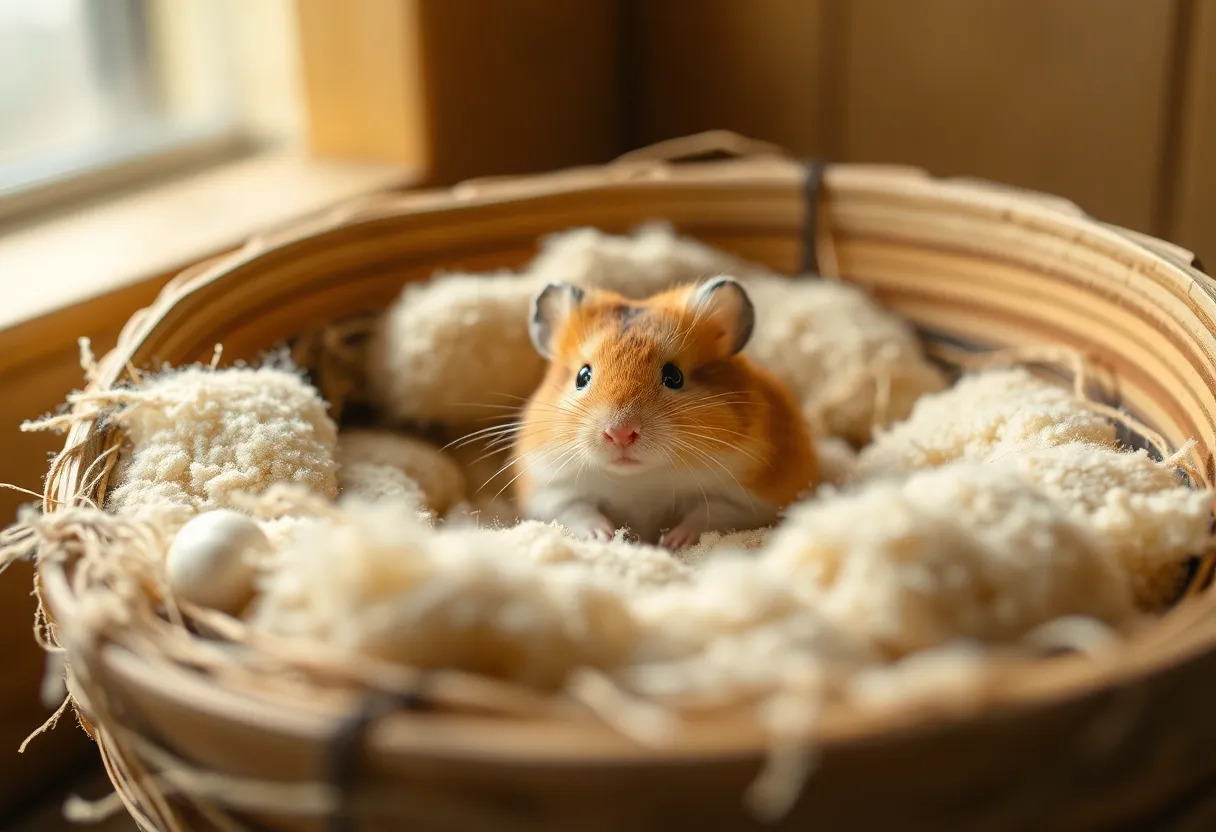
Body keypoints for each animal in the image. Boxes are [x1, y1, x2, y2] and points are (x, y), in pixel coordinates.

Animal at [511, 276, 818, 549]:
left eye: (674, 377)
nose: (620, 433)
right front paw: (606, 536)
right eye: (582, 376)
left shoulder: (747, 501)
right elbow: (578, 512)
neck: (638, 478)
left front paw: (671, 542)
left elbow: (708, 515)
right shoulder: (550, 492)